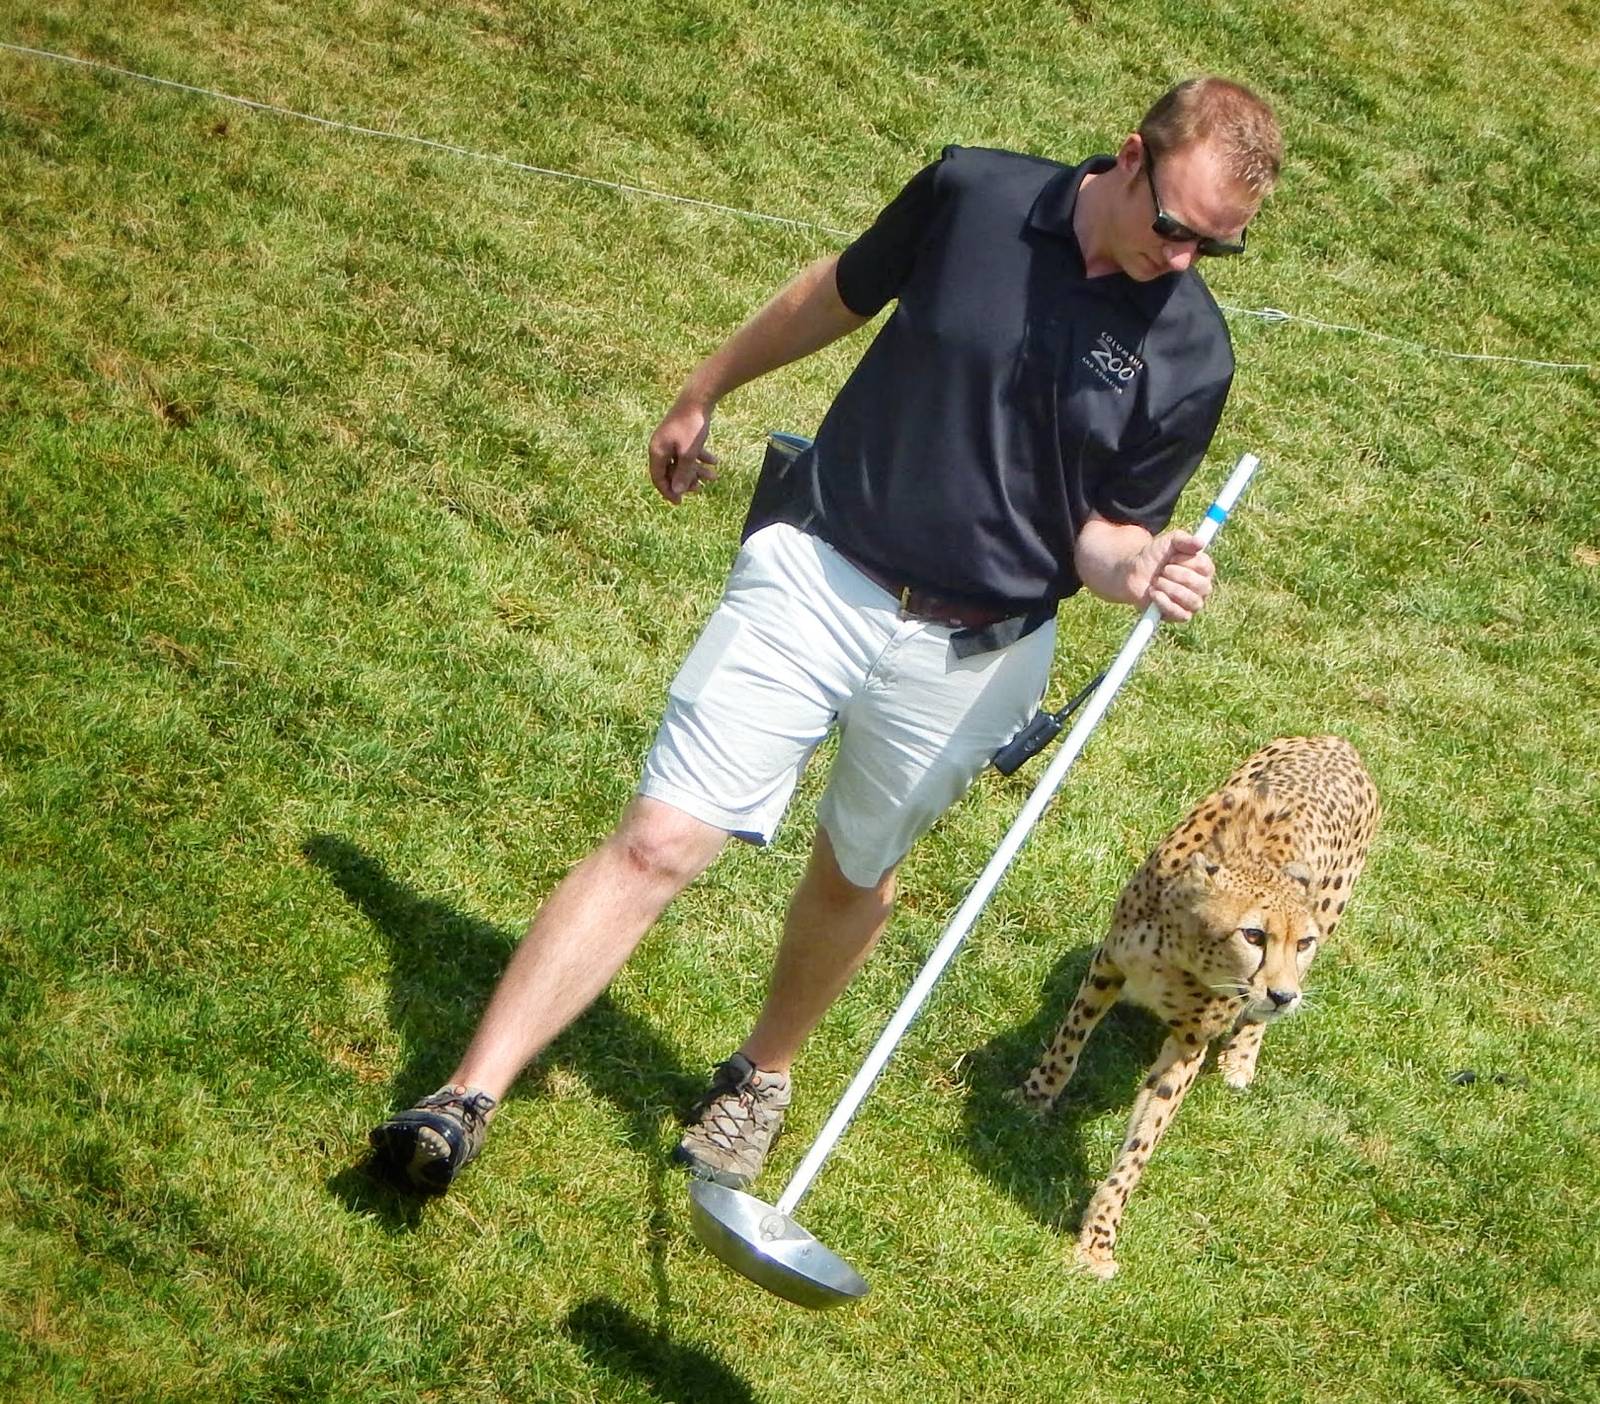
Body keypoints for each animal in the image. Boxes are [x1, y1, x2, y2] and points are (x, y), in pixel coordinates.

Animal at [1015, 735, 1380, 1279]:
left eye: (1303, 943)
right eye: (1254, 935)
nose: (1283, 996)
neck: (1182, 953)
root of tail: (1337, 741)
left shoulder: (1190, 1042)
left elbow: (1142, 1143)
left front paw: (1099, 1238)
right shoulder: (1108, 965)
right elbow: (1068, 1045)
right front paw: (1033, 1097)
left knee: (1253, 1027)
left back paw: (1242, 1059)